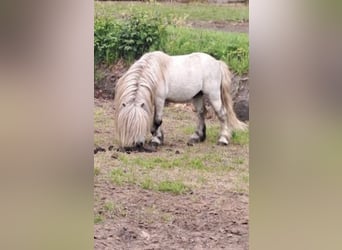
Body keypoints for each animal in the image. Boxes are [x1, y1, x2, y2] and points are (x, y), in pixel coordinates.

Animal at [114, 50, 246, 148]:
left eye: (138, 125)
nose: (135, 145)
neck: (154, 72)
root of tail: (217, 62)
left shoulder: (160, 99)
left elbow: (157, 120)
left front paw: (156, 140)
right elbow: (155, 120)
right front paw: (159, 137)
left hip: (213, 95)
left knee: (222, 114)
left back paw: (223, 139)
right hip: (197, 95)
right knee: (201, 113)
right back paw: (197, 137)